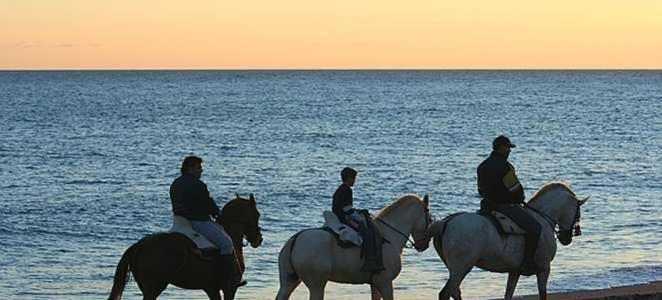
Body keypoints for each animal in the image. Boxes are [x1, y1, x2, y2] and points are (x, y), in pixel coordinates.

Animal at [109, 195, 264, 300]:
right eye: (257, 214)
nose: (259, 239)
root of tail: (140, 245)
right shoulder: (230, 289)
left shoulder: (211, 288)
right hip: (153, 288)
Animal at [276, 193, 436, 298]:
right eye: (430, 219)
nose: (423, 245)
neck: (389, 234)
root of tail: (295, 240)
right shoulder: (385, 282)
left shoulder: (375, 283)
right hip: (317, 285)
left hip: (289, 282)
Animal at [430, 182, 592, 298]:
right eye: (578, 213)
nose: (567, 238)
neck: (542, 217)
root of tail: (446, 222)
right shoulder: (544, 268)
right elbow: (542, 294)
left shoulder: (514, 271)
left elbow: (508, 294)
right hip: (461, 268)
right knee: (447, 293)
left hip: (455, 269)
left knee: (454, 291)